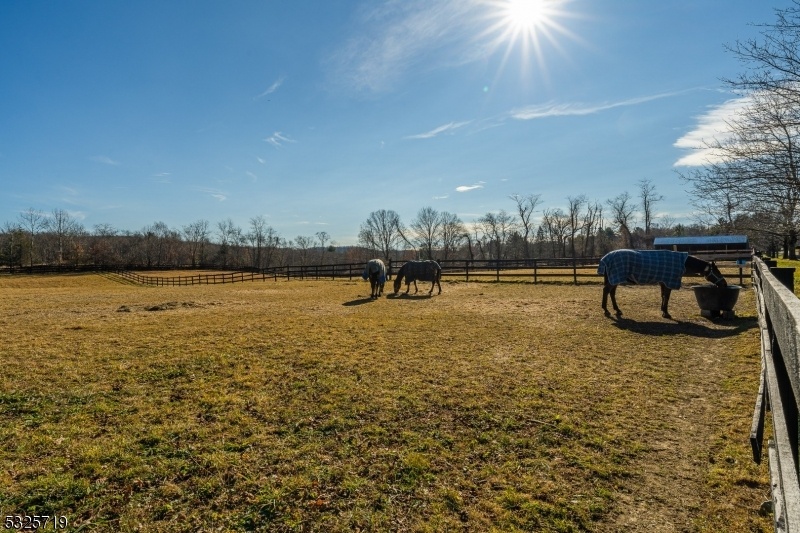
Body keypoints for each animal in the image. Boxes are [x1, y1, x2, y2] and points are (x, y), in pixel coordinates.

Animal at [598, 249, 726, 319]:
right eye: (717, 271)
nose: (724, 283)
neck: (681, 262)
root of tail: (606, 258)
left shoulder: (663, 282)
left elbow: (663, 296)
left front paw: (662, 310)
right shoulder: (668, 282)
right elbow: (667, 297)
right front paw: (666, 313)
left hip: (615, 278)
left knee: (612, 293)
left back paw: (617, 310)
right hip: (614, 278)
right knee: (606, 291)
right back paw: (606, 310)